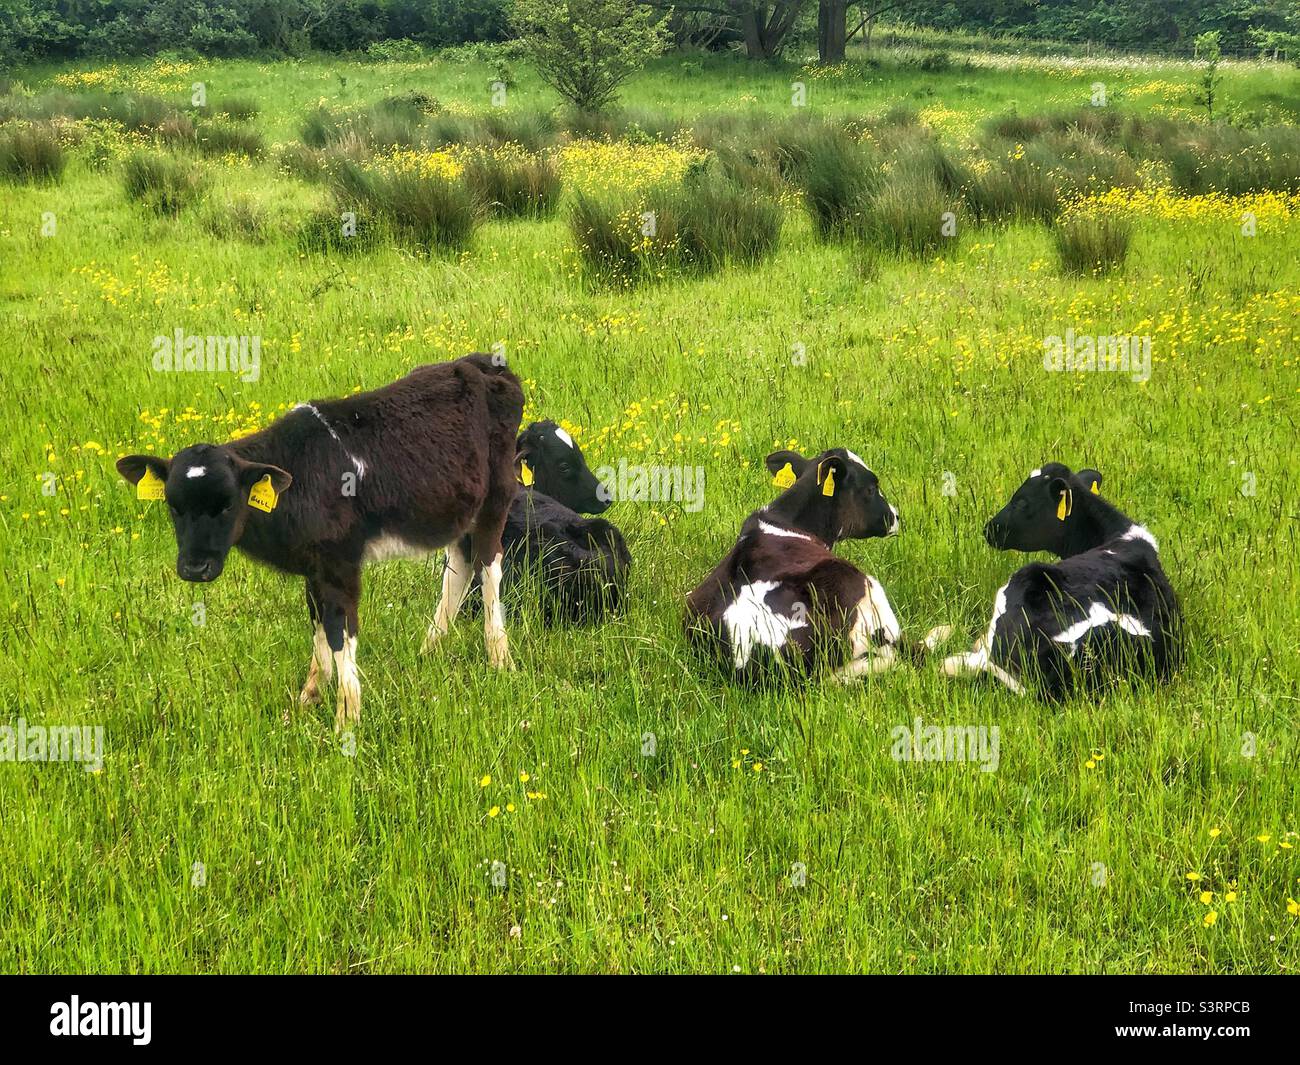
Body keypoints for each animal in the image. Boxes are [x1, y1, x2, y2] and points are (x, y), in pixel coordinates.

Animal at [115, 353, 524, 731]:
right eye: (173, 505)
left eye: (228, 503)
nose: (195, 567)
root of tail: (482, 362)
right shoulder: (313, 565)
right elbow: (317, 624)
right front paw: (308, 697)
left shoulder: (340, 560)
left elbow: (339, 630)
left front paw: (347, 717)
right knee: (459, 565)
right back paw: (429, 649)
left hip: (497, 495)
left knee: (488, 565)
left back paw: (500, 657)